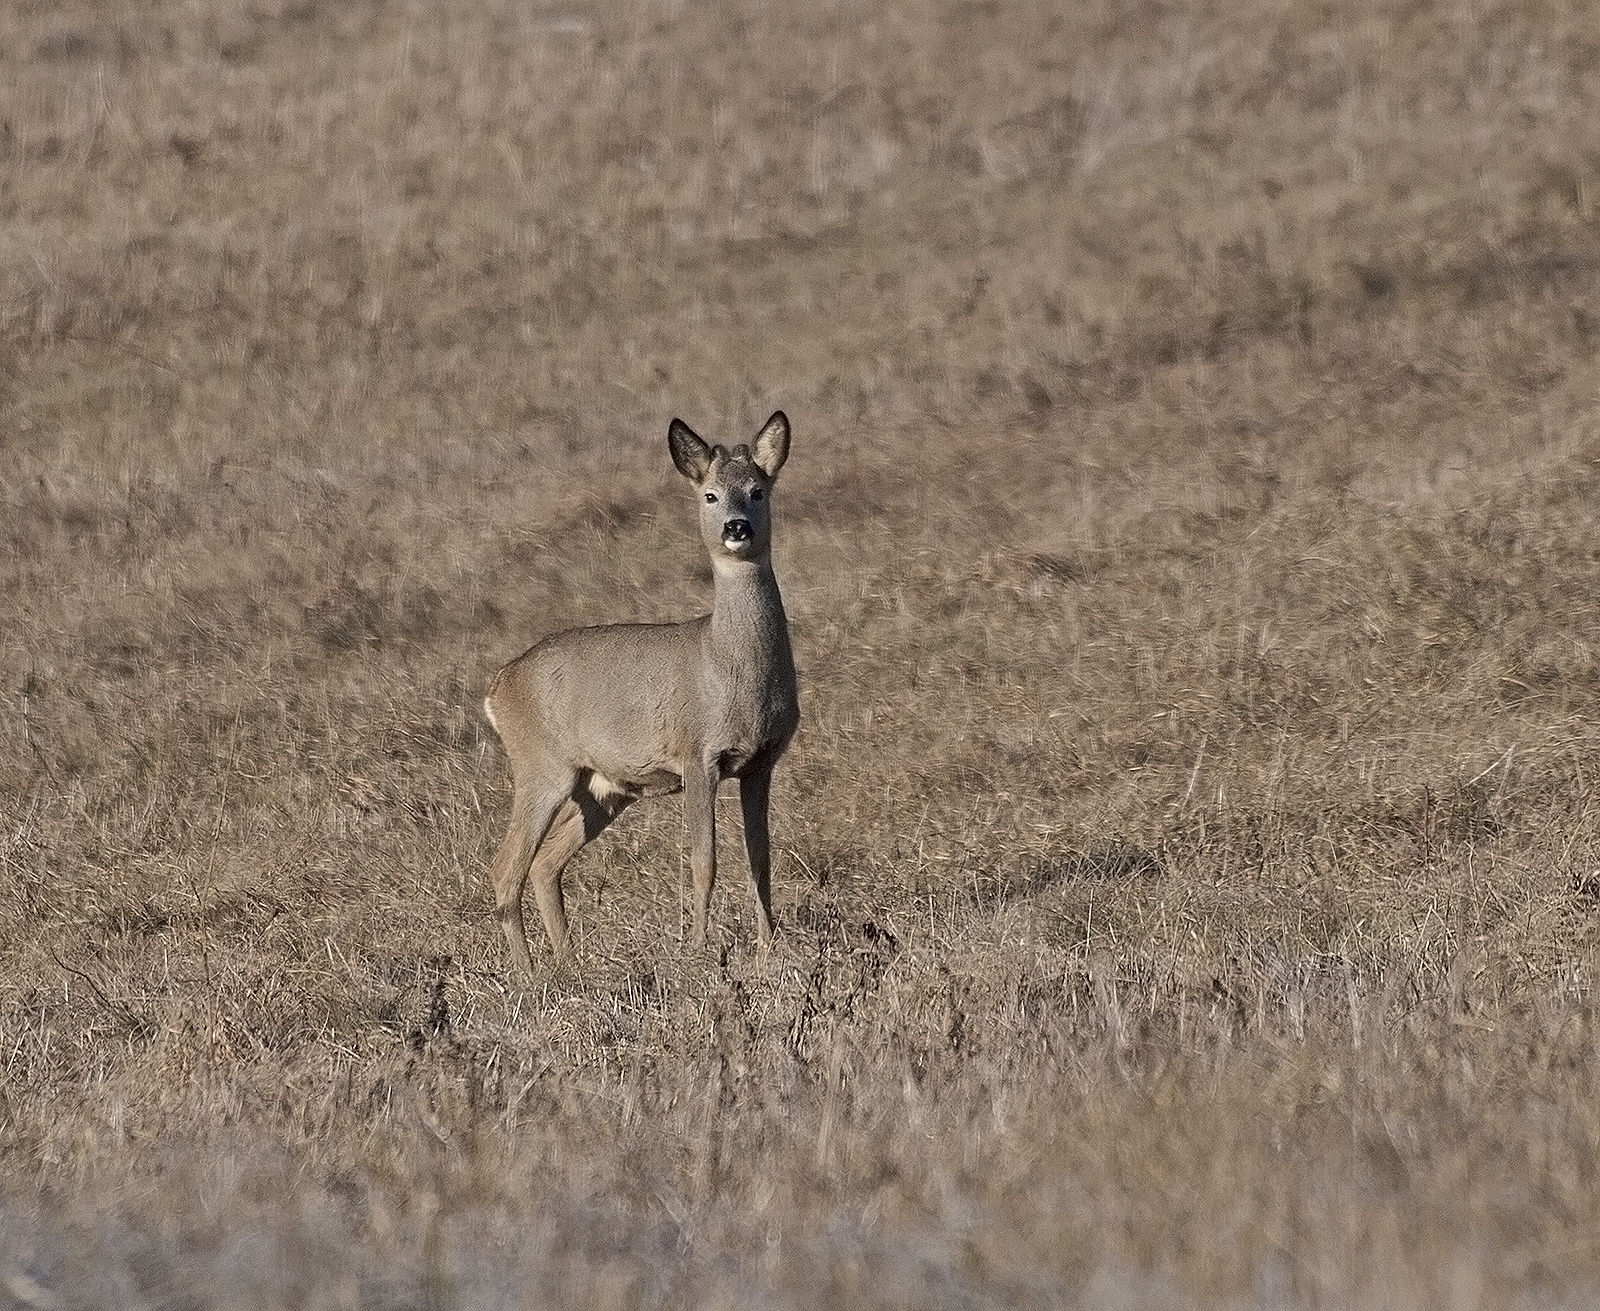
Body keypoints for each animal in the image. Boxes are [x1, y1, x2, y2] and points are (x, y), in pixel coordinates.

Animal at [476, 409, 796, 973]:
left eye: (758, 490)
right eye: (710, 495)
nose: (736, 528)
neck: (729, 665)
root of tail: (497, 689)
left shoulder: (760, 762)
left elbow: (760, 857)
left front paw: (768, 948)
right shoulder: (698, 755)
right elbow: (704, 859)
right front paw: (698, 949)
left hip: (604, 787)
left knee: (544, 862)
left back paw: (569, 963)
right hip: (542, 767)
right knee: (505, 866)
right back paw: (528, 975)